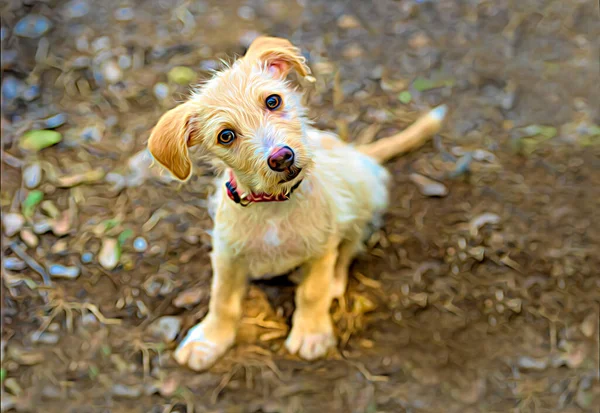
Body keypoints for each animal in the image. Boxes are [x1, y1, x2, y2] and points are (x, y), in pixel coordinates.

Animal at [145, 36, 446, 370]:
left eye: (273, 101)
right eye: (226, 135)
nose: (281, 158)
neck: (272, 205)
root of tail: (357, 152)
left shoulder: (321, 248)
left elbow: (313, 292)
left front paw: (311, 333)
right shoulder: (227, 254)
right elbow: (222, 300)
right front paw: (209, 339)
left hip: (361, 199)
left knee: (348, 249)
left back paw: (335, 281)